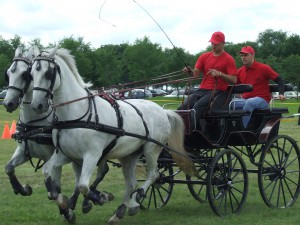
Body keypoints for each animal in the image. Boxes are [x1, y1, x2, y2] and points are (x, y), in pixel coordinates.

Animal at [2, 45, 112, 221]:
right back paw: (80, 201)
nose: (8, 103)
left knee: (99, 172)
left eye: (25, 74)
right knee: (85, 175)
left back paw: (87, 201)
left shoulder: (53, 156)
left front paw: (66, 210)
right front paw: (23, 189)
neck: (35, 124)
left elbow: (54, 190)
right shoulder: (24, 151)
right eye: (8, 74)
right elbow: (8, 168)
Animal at [29, 47, 196, 223]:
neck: (76, 115)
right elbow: (47, 171)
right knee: (131, 183)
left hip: (152, 148)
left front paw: (101, 197)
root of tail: (163, 111)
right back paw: (120, 211)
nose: (37, 105)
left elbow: (83, 185)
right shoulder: (65, 154)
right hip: (129, 155)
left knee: (153, 175)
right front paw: (63, 202)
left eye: (48, 73)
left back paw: (136, 200)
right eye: (31, 74)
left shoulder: (92, 155)